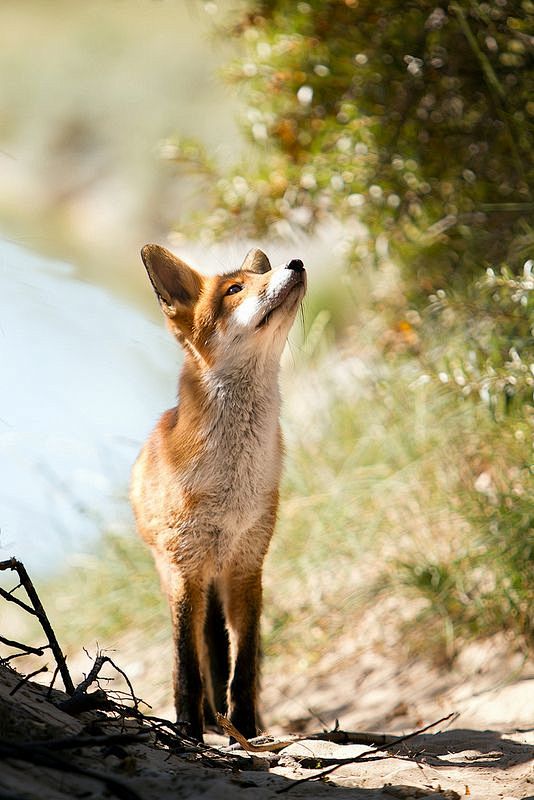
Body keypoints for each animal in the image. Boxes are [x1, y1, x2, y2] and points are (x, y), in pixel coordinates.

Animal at [130, 241, 308, 740]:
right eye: (234, 290)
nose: (296, 263)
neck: (231, 489)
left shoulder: (247, 565)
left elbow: (244, 664)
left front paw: (245, 728)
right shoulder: (185, 571)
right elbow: (187, 667)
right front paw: (188, 728)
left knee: (221, 651)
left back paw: (227, 720)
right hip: (178, 576)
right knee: (201, 653)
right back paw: (208, 720)